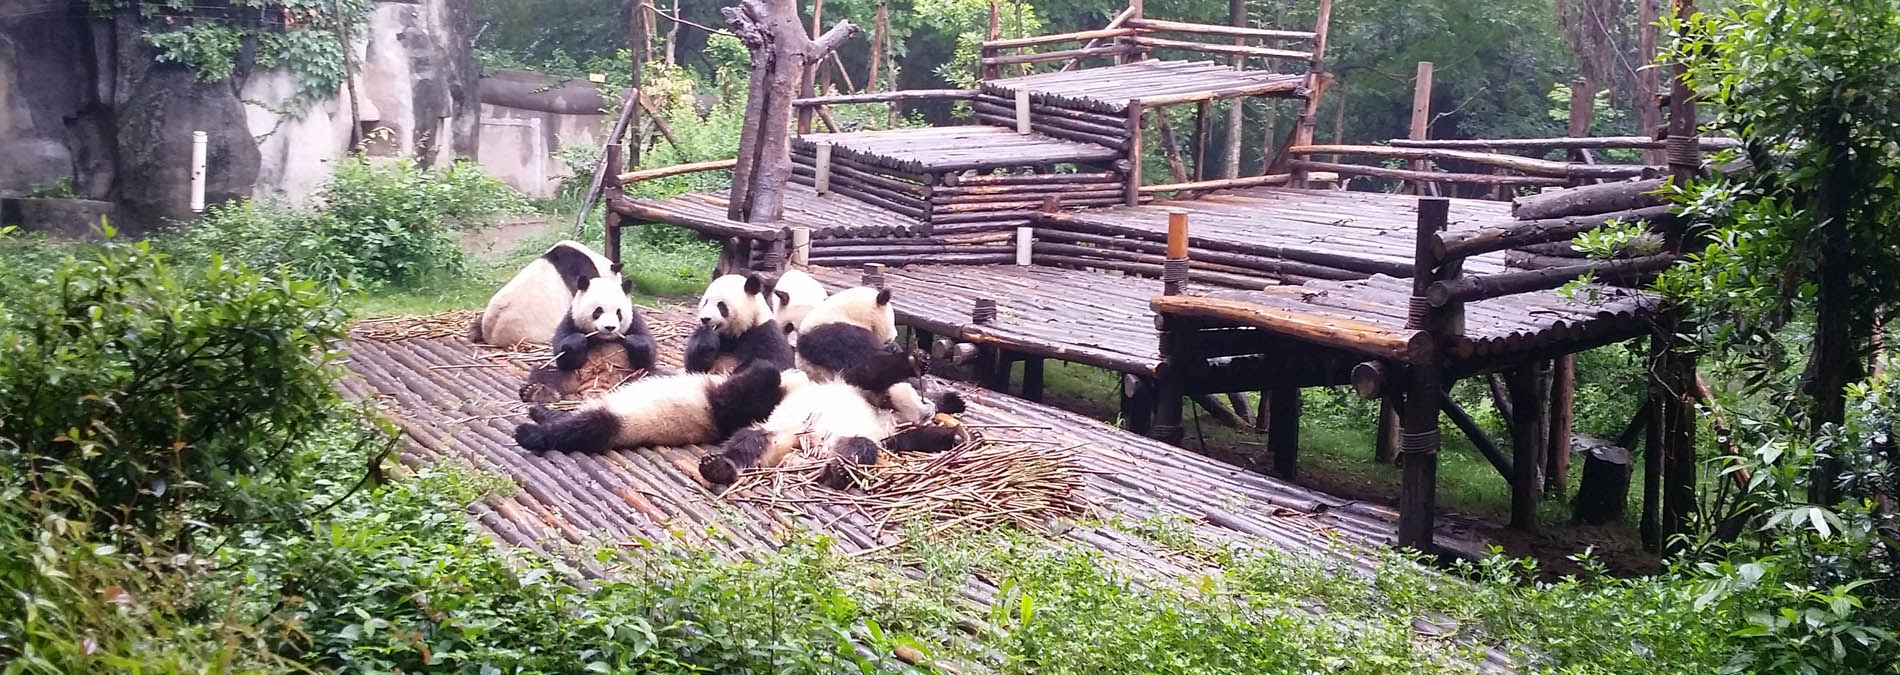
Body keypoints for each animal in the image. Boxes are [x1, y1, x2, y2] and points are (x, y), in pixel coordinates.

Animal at [699, 349, 965, 490]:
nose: (929, 409)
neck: (890, 410)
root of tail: (804, 447)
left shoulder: (891, 433)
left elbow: (913, 439)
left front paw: (953, 433)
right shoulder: (866, 389)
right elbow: (870, 373)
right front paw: (915, 361)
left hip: (836, 439)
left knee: (860, 448)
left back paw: (837, 471)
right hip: (781, 431)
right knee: (747, 440)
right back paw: (719, 466)